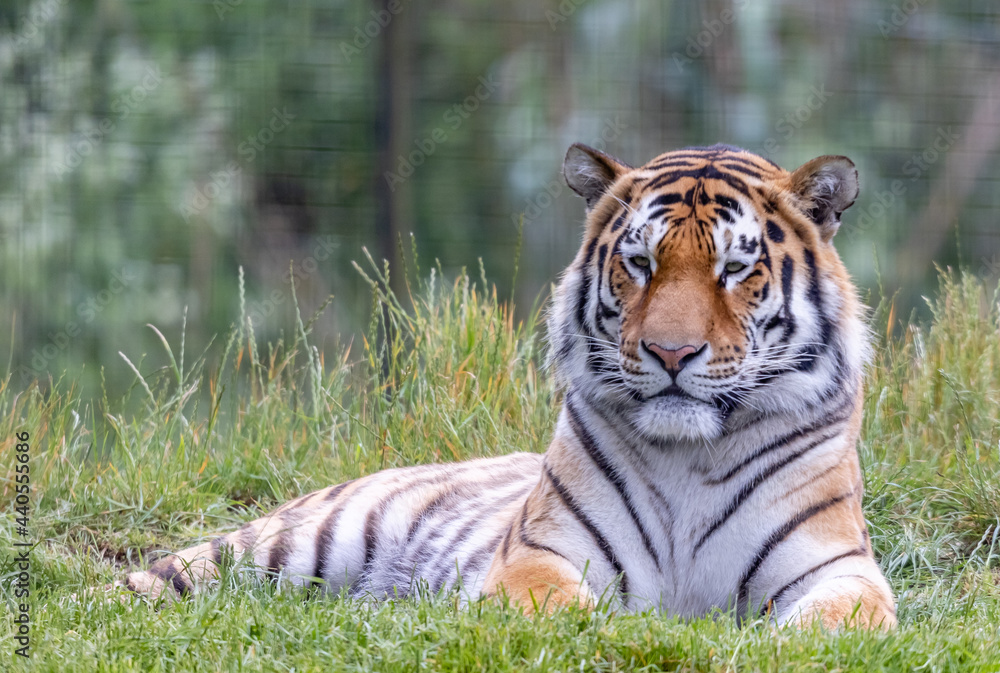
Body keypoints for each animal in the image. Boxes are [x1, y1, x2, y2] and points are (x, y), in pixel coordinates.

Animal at [117, 142, 896, 630]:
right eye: (640, 263)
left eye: (735, 269)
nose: (670, 352)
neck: (690, 455)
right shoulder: (541, 553)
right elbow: (557, 608)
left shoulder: (838, 566)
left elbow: (842, 620)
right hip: (278, 548)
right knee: (141, 584)